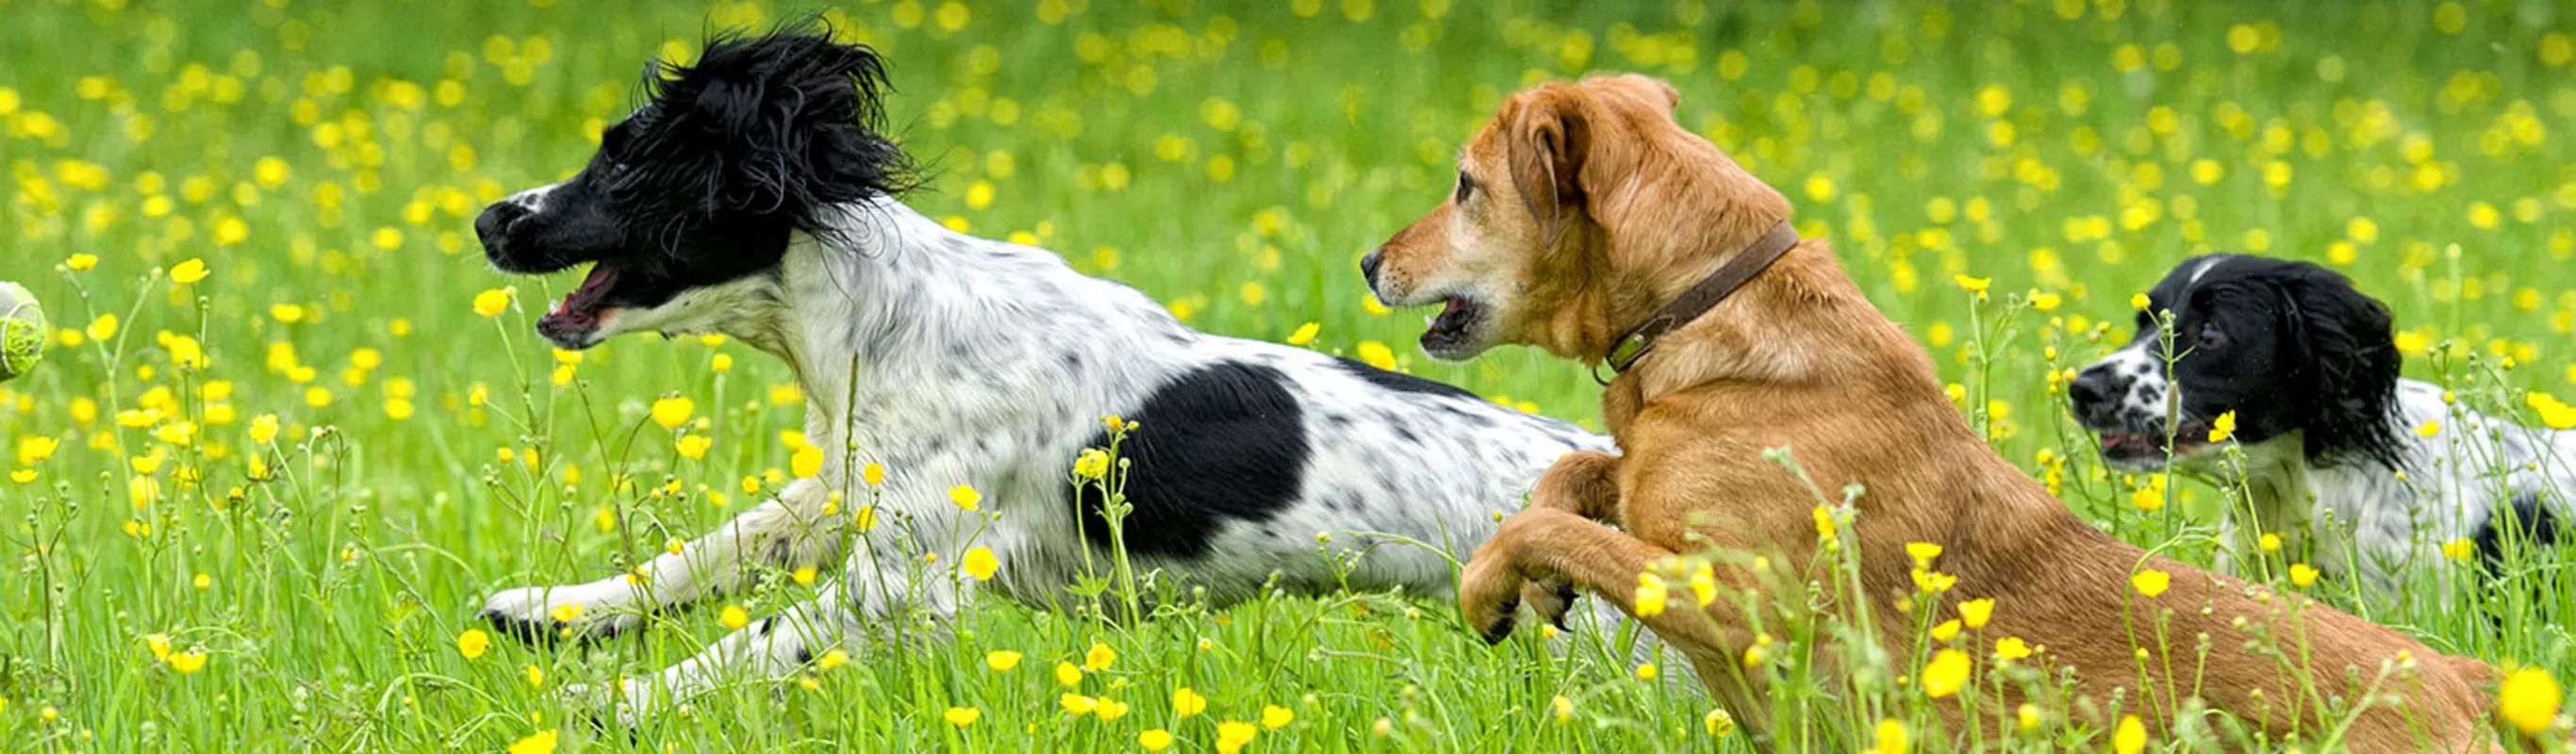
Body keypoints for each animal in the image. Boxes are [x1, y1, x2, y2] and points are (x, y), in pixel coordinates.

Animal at [473, 27, 1617, 715]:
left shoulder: (908, 577)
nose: (489, 219)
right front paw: (553, 610)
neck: (883, 319)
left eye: (623, 159)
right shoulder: (849, 491)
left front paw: (605, 704)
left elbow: (761, 633)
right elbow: (718, 549)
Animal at [1370, 74, 2493, 751]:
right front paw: (1528, 581)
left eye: (1464, 185)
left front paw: (1489, 587)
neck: (1706, 308)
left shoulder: (1739, 602)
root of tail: (2461, 676)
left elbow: (1545, 523)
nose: (1370, 261)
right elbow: (1572, 481)